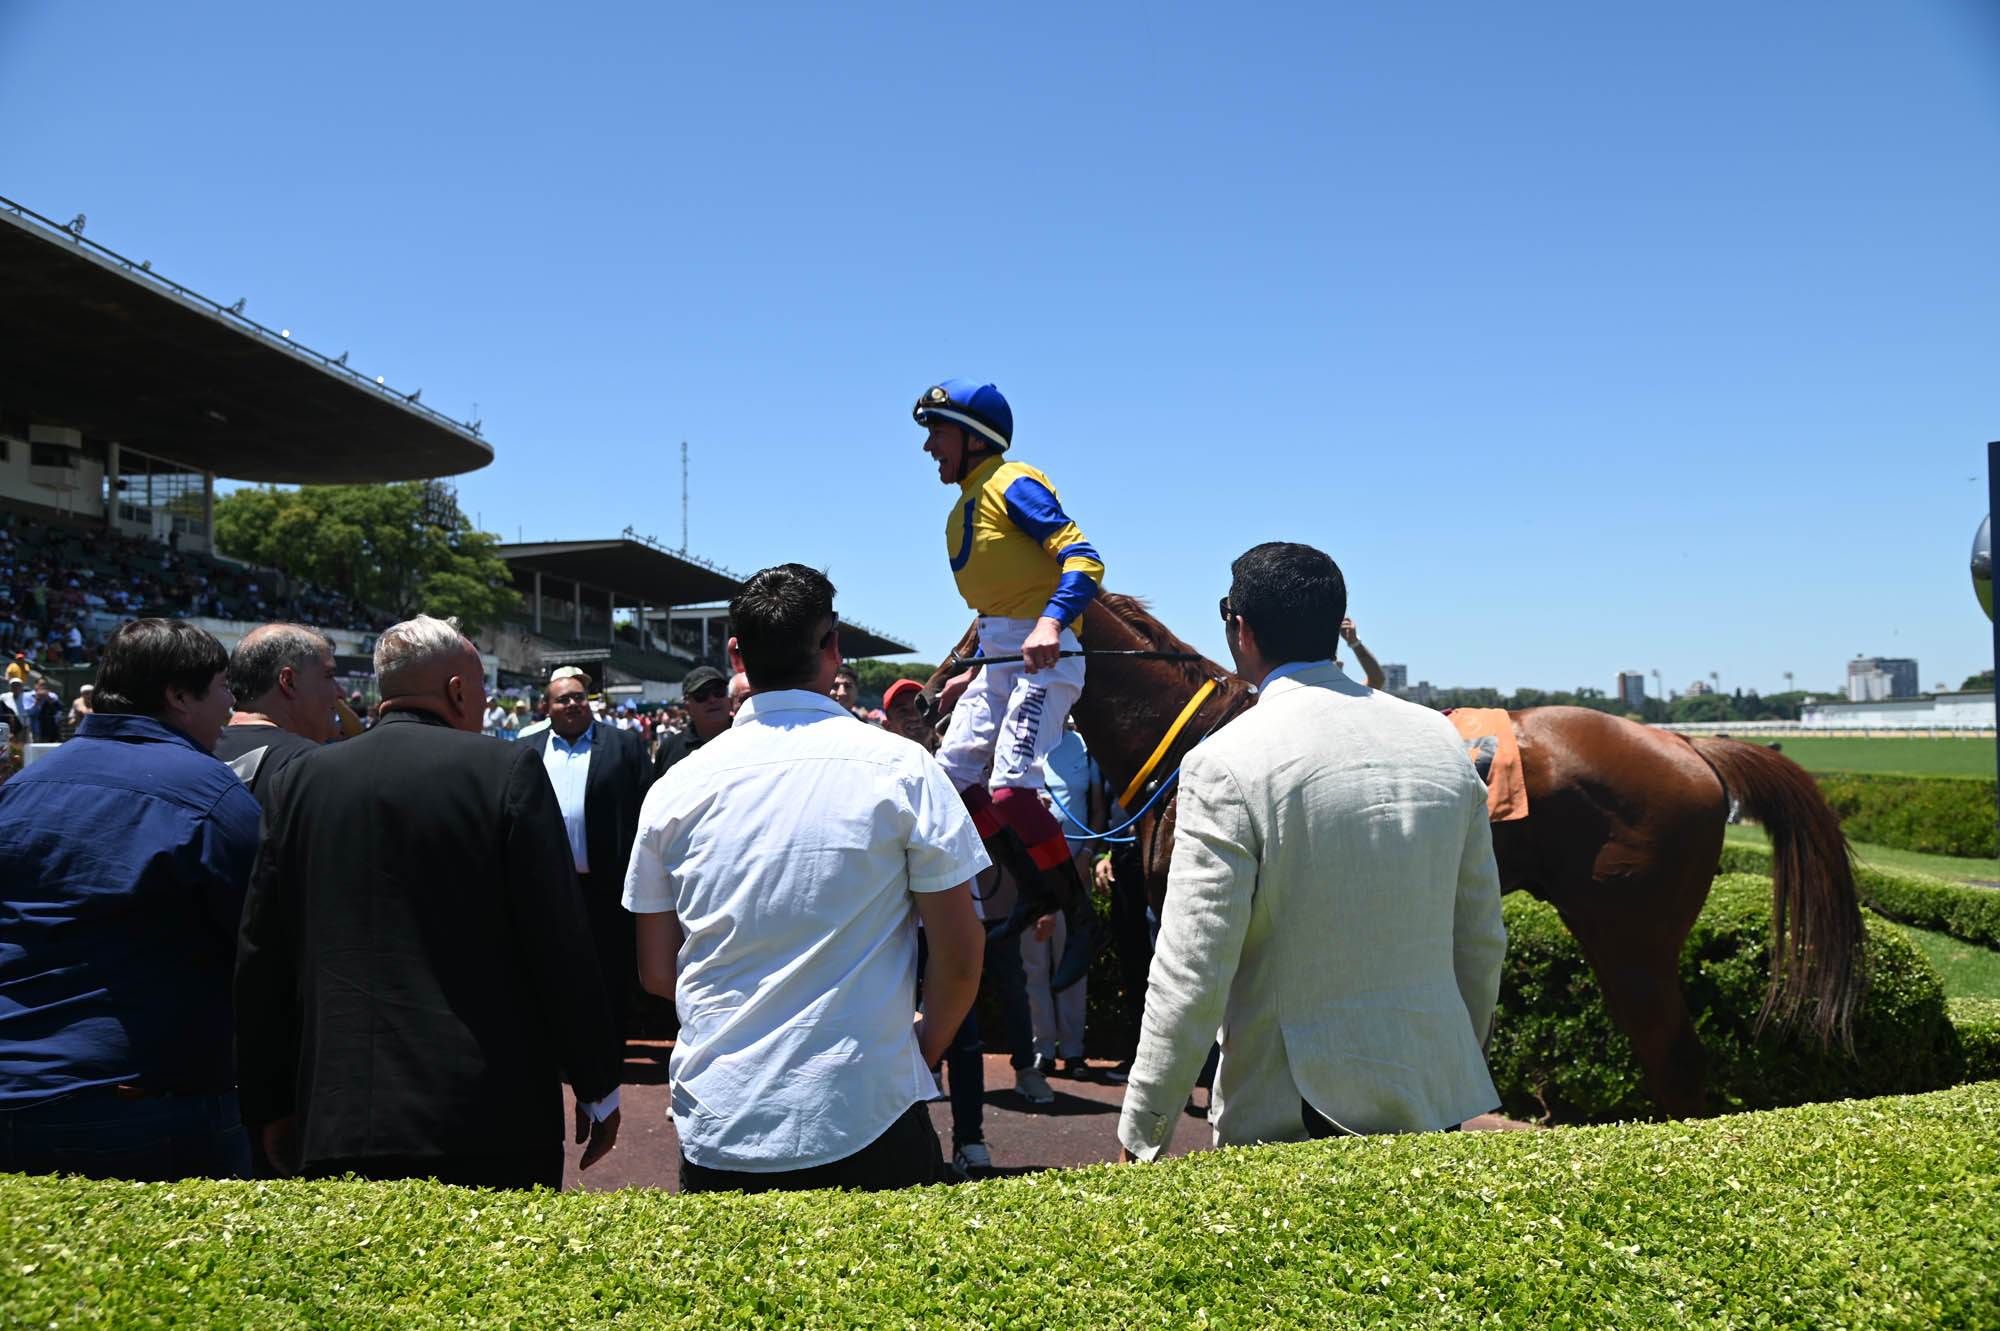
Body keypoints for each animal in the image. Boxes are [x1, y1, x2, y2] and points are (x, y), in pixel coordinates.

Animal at [921, 593, 1865, 1119]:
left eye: (976, 630)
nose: (927, 694)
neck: (1190, 736)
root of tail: (1688, 744)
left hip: (1628, 937)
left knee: (1673, 1061)